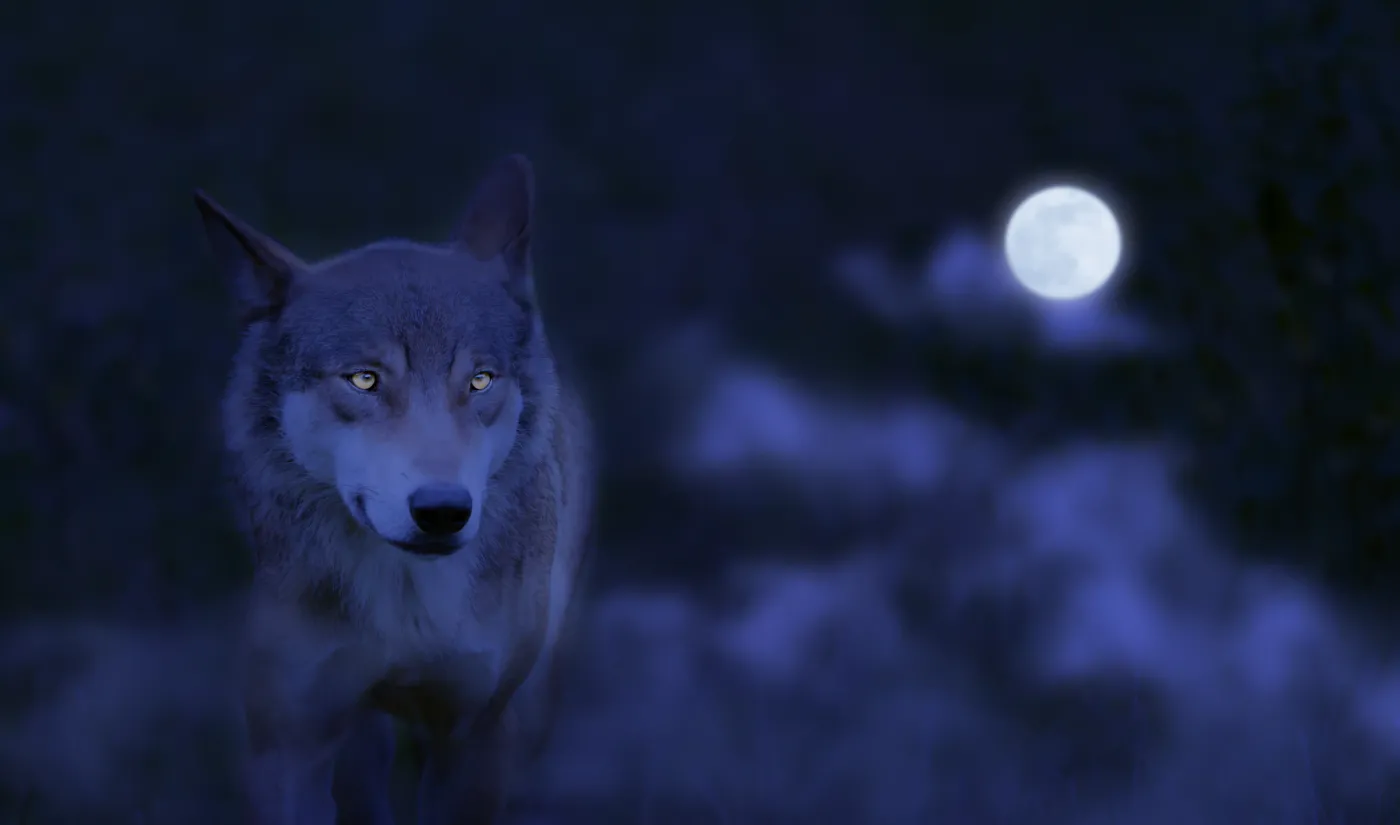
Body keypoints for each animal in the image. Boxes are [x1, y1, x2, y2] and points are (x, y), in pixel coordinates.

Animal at [194, 155, 594, 825]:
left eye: (480, 381)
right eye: (364, 380)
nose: (442, 511)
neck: (407, 610)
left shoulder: (477, 737)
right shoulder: (286, 748)